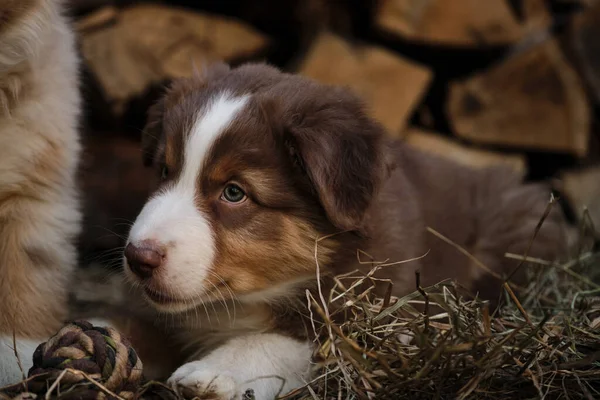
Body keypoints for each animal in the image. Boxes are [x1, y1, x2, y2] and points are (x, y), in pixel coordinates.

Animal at [125, 62, 568, 400]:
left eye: (234, 192)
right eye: (165, 171)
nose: (136, 257)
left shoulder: (368, 310)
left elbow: (279, 342)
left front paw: (214, 373)